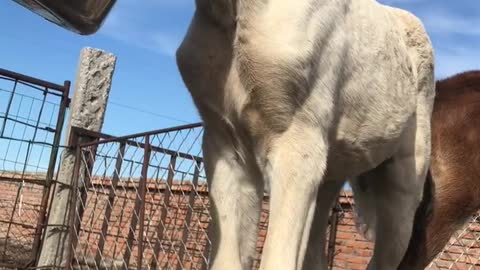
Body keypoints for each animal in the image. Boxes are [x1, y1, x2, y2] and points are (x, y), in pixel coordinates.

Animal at [175, 1, 436, 268]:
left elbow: (278, 258)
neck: (233, 12)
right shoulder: (227, 147)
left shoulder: (297, 142)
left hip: (403, 187)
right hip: (329, 177)